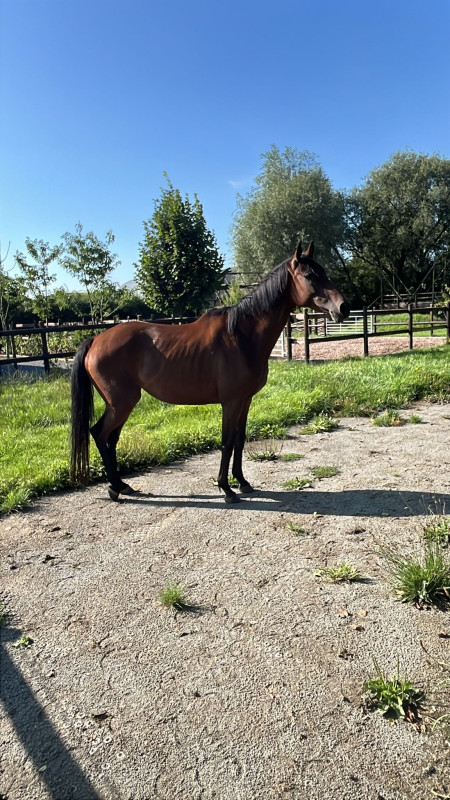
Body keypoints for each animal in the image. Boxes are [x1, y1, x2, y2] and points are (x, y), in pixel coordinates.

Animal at [70, 241, 350, 503]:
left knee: (111, 439)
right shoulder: (231, 401)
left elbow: (239, 439)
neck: (242, 336)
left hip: (120, 404)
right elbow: (227, 441)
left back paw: (122, 485)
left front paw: (242, 482)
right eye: (310, 276)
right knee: (100, 434)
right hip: (122, 403)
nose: (344, 307)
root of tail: (95, 340)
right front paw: (226, 488)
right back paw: (114, 489)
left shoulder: (245, 400)